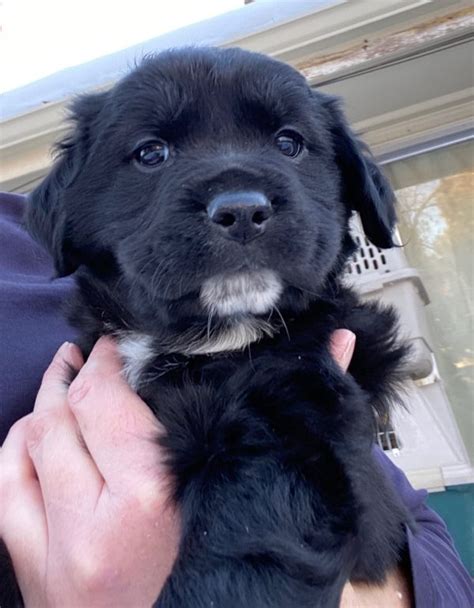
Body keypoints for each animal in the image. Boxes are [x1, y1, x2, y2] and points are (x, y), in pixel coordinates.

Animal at [5, 47, 412, 608]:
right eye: (151, 153)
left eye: (289, 143)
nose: (241, 209)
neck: (209, 339)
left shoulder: (301, 422)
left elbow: (245, 544)